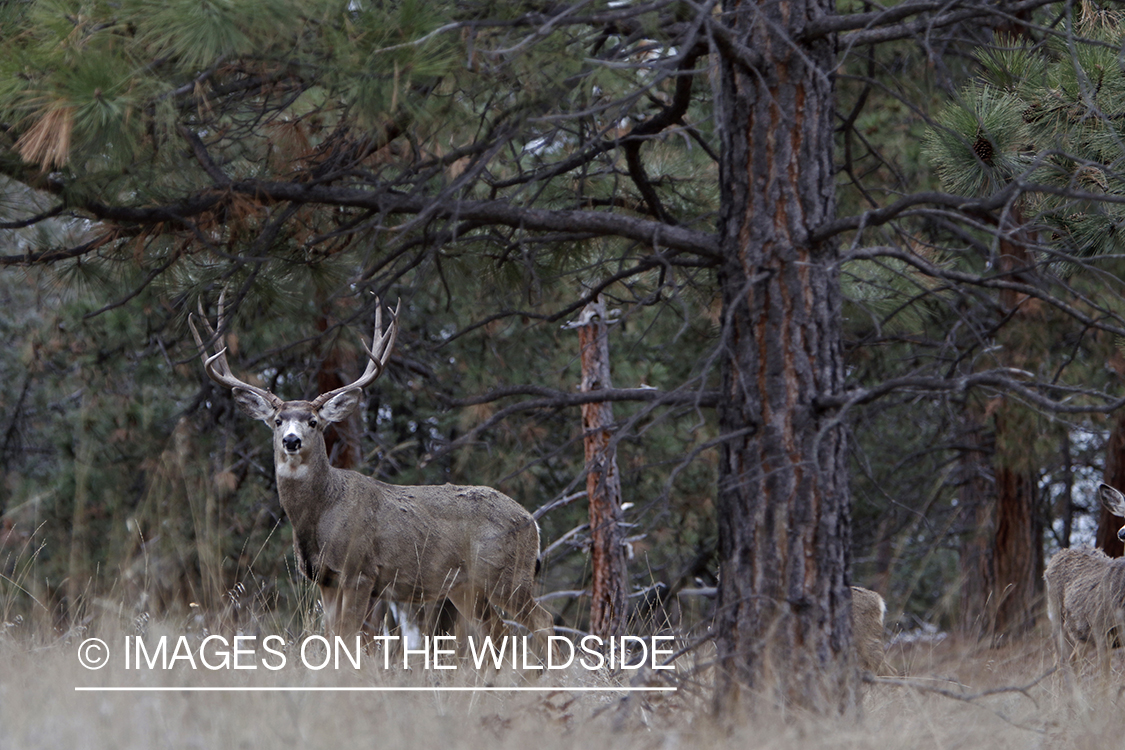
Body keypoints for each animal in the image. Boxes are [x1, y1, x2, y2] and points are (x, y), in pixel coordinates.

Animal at [1039, 483, 1125, 670]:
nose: (1122, 533)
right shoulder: (1101, 628)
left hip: (1080, 631)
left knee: (1074, 660)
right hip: (1056, 614)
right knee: (1060, 661)